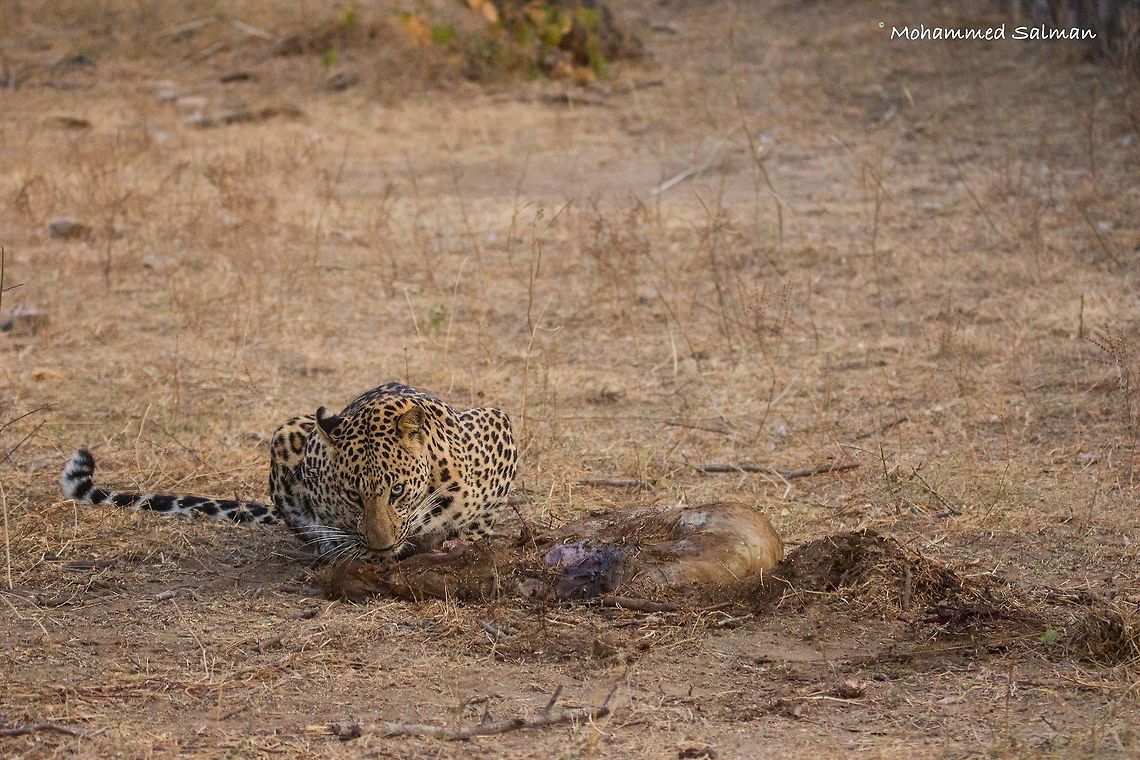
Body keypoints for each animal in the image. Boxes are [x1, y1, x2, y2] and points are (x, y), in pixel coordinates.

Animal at [60, 383, 518, 561]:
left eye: (399, 490)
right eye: (353, 495)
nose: (381, 546)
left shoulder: (498, 422)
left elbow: (482, 517)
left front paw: (461, 539)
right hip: (286, 433)